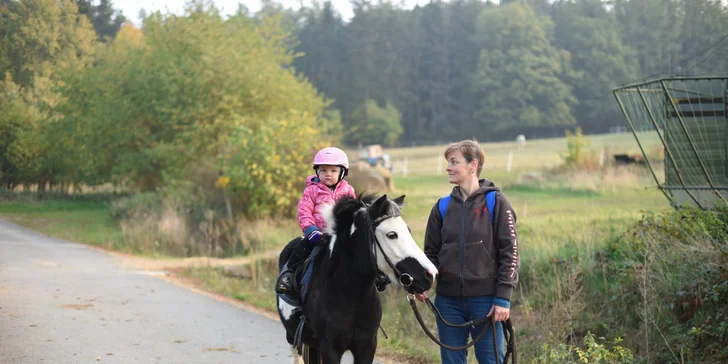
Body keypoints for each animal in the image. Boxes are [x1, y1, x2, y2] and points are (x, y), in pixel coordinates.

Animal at [278, 193, 438, 362]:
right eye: (391, 234)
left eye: (408, 230)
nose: (431, 274)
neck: (351, 297)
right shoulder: (330, 349)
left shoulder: (367, 347)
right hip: (292, 337)